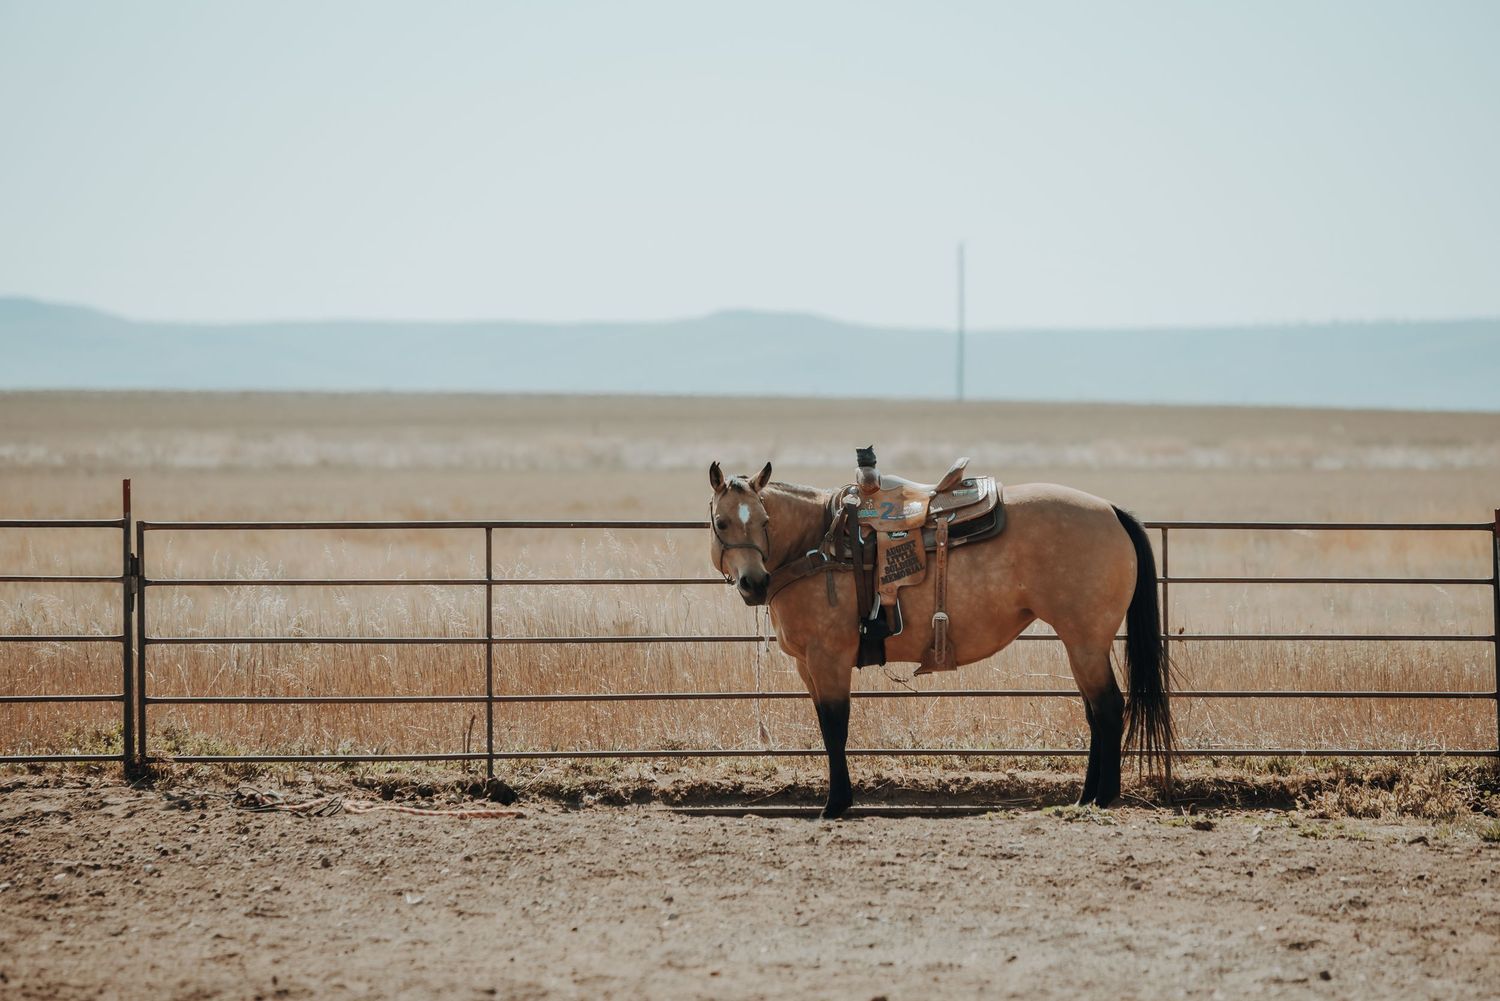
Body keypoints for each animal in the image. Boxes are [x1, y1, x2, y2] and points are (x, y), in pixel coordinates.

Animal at [707, 460, 1172, 818]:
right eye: (722, 522)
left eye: (765, 522)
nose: (753, 583)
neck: (818, 546)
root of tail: (1110, 511)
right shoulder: (808, 666)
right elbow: (826, 725)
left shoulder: (828, 659)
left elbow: (835, 728)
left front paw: (836, 804)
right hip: (1081, 644)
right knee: (1094, 712)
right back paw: (1086, 796)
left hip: (1087, 640)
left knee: (1108, 708)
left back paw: (1103, 797)